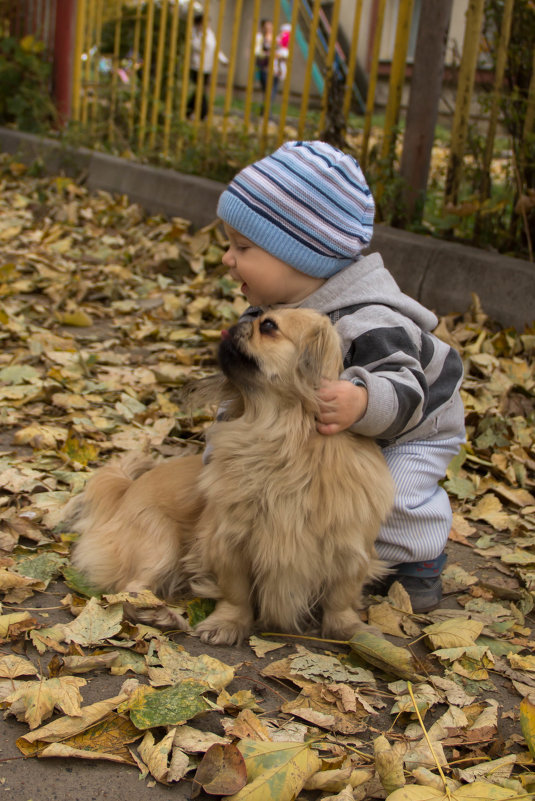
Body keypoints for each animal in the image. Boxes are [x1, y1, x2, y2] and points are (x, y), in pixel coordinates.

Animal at [65, 306, 396, 644]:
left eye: (268, 326)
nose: (238, 324)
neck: (280, 438)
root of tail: (125, 491)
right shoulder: (228, 545)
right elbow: (236, 595)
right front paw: (227, 623)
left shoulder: (350, 551)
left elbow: (340, 599)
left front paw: (352, 630)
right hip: (159, 544)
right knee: (128, 591)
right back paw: (157, 614)